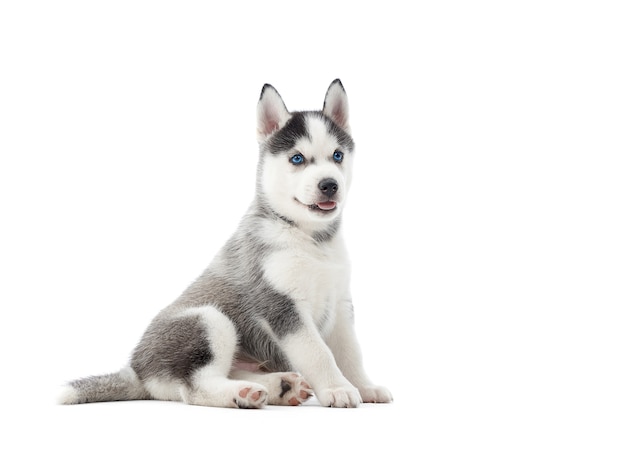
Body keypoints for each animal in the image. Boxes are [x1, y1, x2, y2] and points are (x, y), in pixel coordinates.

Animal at [58, 80, 390, 406]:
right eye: (297, 158)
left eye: (337, 155)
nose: (329, 185)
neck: (311, 238)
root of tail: (136, 371)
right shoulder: (282, 306)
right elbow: (318, 352)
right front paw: (338, 388)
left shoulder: (340, 304)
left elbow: (350, 352)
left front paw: (364, 386)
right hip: (209, 319)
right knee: (194, 388)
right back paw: (242, 393)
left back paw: (281, 387)